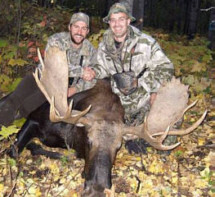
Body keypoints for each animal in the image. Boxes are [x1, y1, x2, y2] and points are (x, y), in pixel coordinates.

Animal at [7, 47, 207, 196]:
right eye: (89, 140)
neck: (71, 135)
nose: (97, 190)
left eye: (118, 147)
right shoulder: (35, 118)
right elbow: (13, 151)